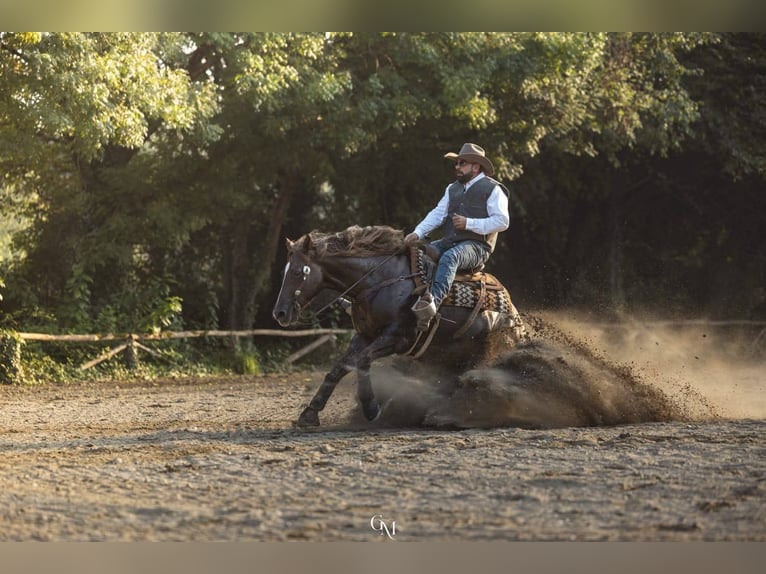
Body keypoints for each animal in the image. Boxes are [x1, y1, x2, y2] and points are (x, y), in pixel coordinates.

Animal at [272, 224, 527, 427]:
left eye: (298, 272)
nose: (279, 313)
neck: (378, 281)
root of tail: (515, 317)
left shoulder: (399, 337)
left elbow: (362, 361)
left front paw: (372, 408)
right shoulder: (364, 336)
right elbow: (340, 368)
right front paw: (309, 413)